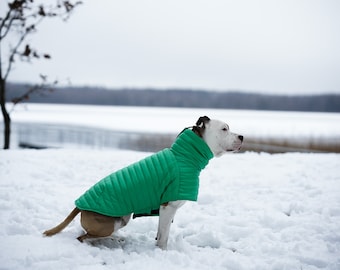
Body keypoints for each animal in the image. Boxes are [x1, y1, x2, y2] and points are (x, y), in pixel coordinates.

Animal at [43, 115, 243, 250]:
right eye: (224, 129)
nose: (241, 136)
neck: (185, 157)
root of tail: (79, 205)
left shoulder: (165, 211)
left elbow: (162, 232)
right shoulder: (168, 207)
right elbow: (164, 237)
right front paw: (163, 252)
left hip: (121, 218)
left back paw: (117, 238)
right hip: (109, 222)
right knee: (84, 238)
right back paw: (115, 240)